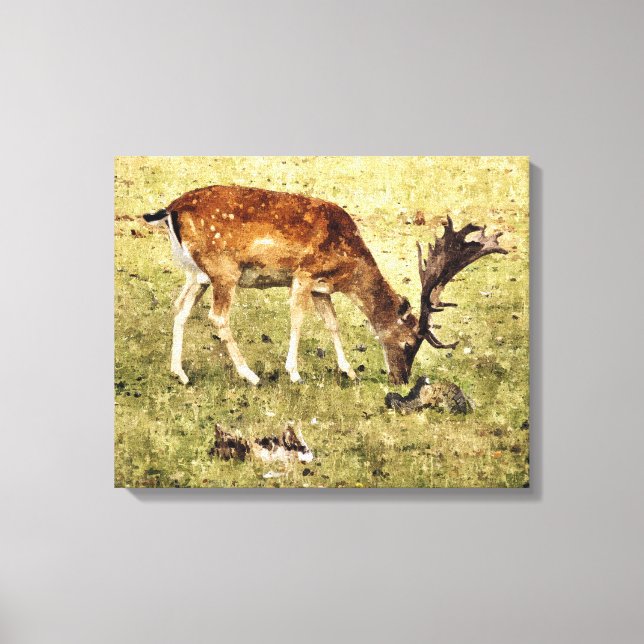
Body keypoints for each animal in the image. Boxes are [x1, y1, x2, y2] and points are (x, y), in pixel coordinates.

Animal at [143, 185, 507, 386]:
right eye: (408, 344)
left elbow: (333, 323)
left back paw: (180, 374)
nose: (401, 380)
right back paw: (250, 375)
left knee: (180, 309)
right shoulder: (304, 273)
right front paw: (294, 373)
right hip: (224, 269)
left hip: (197, 274)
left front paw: (349, 371)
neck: (347, 266)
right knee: (217, 318)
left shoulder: (321, 288)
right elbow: (298, 320)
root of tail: (170, 210)